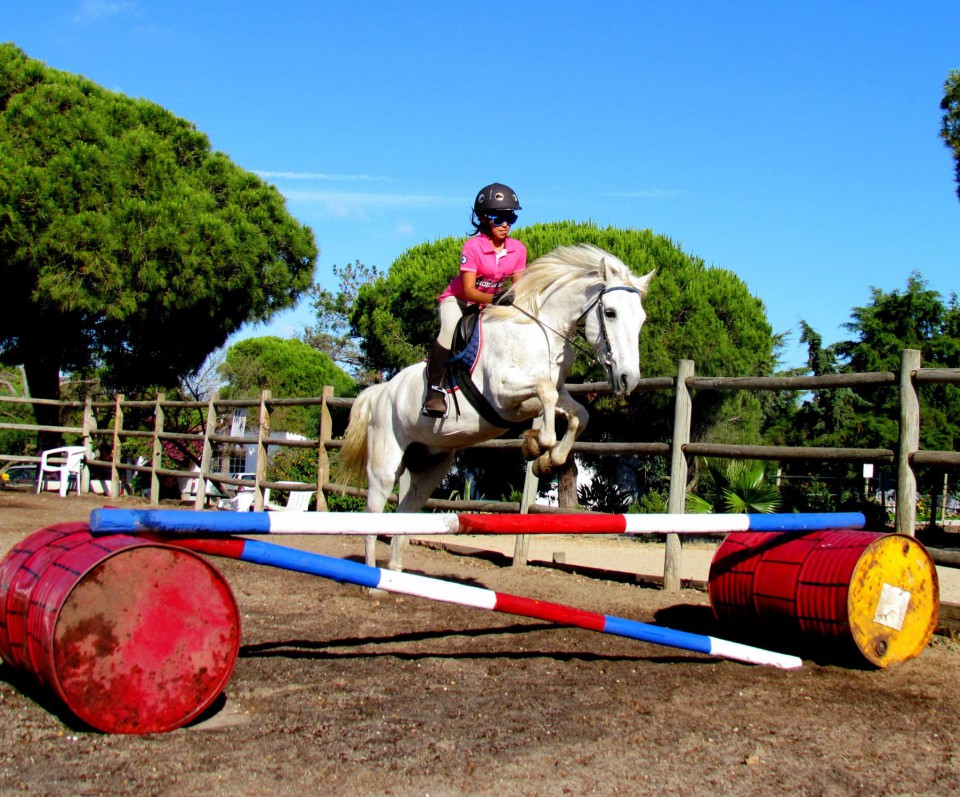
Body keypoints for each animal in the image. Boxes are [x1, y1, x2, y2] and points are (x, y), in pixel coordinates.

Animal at [338, 243, 654, 571]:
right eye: (611, 312)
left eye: (641, 319)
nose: (628, 379)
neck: (540, 331)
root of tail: (382, 392)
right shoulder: (502, 393)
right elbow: (545, 397)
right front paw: (536, 445)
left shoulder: (553, 393)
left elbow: (578, 413)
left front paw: (545, 459)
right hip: (384, 465)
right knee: (372, 519)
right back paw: (371, 576)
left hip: (430, 467)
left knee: (406, 513)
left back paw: (395, 573)